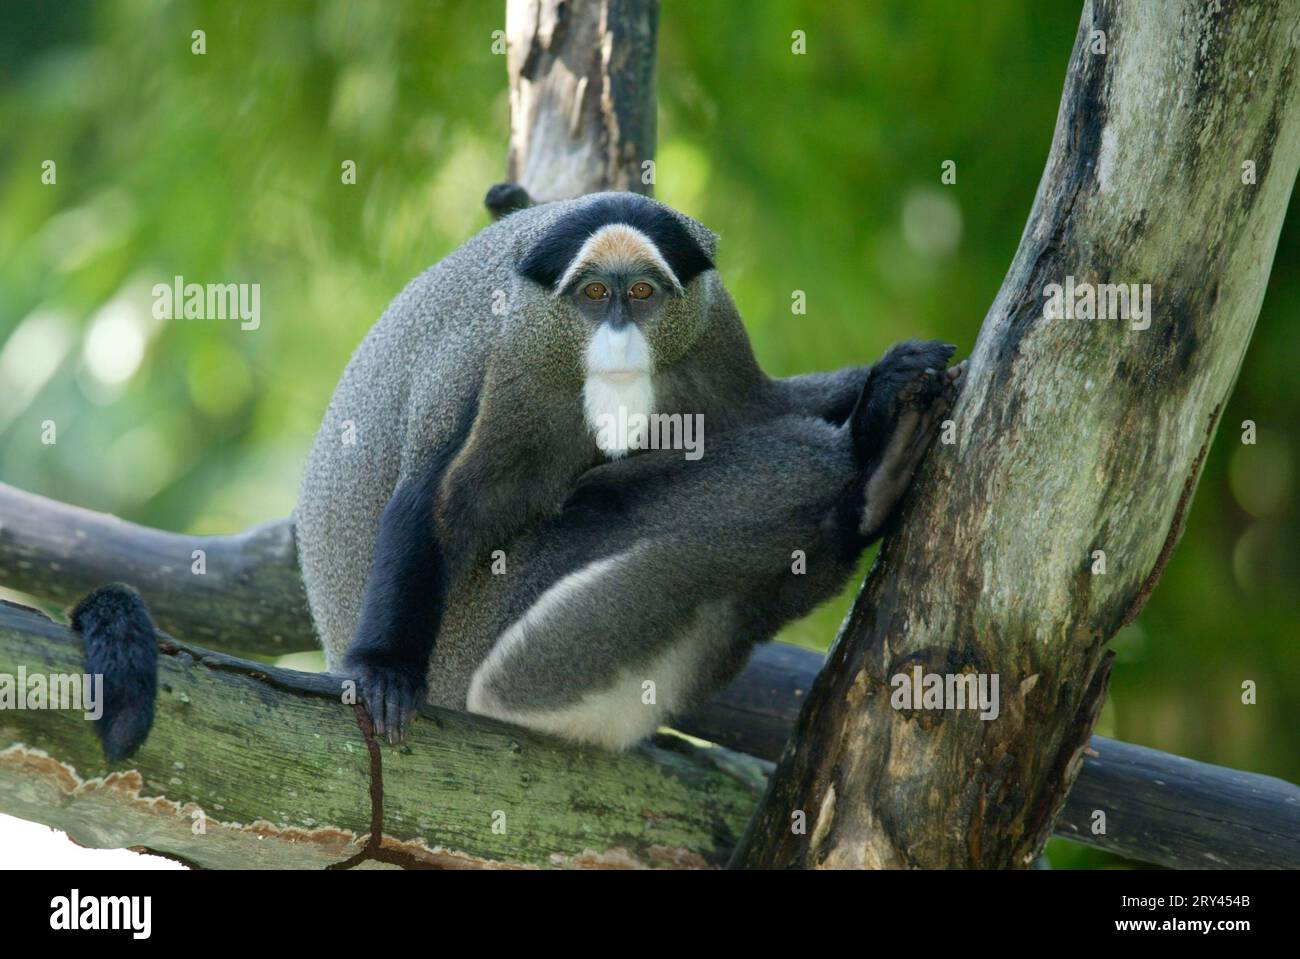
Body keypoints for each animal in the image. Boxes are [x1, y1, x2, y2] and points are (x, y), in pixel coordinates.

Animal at [299, 187, 956, 738]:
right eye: (594, 294)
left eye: (642, 293)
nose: (619, 340)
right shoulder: (486, 363)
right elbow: (437, 508)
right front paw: (382, 670)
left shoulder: (715, 329)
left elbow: (766, 407)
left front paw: (891, 373)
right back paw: (870, 482)